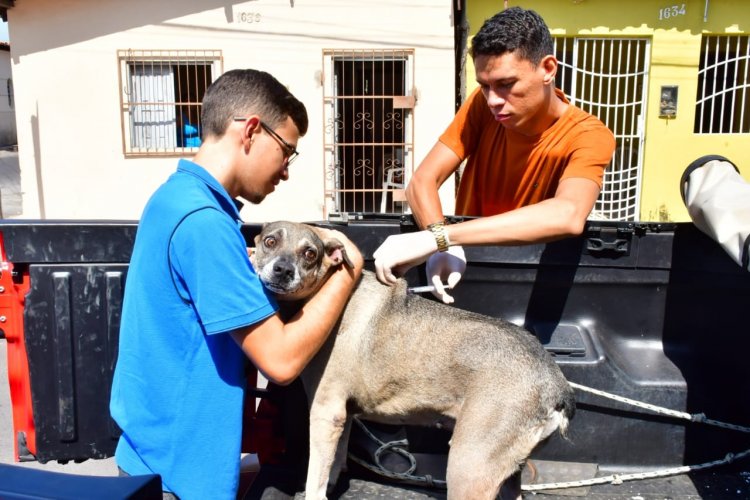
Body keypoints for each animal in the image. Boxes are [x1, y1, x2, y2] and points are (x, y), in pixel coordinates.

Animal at [253, 221, 576, 498]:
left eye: (310, 253)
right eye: (270, 241)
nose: (282, 270)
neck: (325, 296)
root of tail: (556, 384)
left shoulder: (325, 411)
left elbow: (316, 477)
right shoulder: (341, 416)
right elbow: (334, 464)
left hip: (469, 466)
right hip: (507, 470)